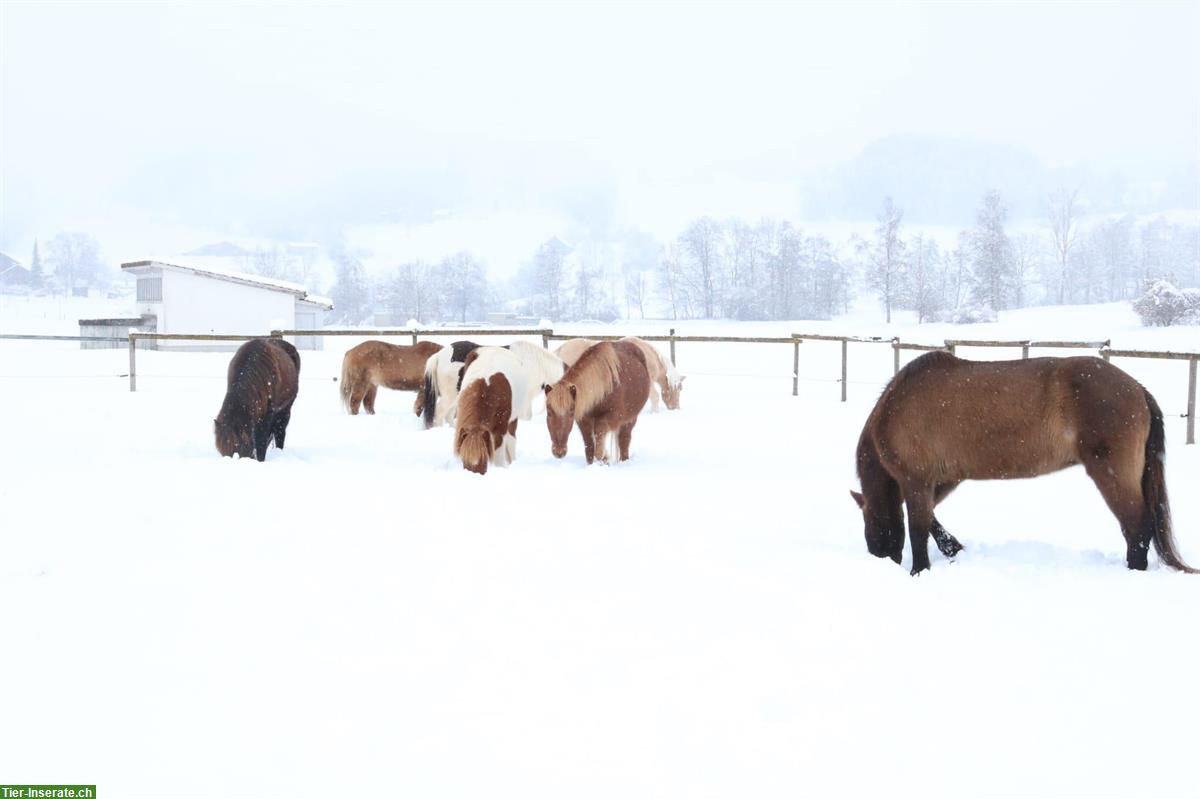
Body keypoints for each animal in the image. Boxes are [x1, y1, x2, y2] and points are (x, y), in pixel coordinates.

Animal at [849, 352, 1195, 568]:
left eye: (870, 526)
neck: (894, 410)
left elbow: (918, 527)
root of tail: (1138, 388)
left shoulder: (917, 479)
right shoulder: (945, 478)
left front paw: (919, 570)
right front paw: (952, 548)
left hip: (1112, 474)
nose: (881, 560)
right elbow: (930, 518)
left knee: (1137, 526)